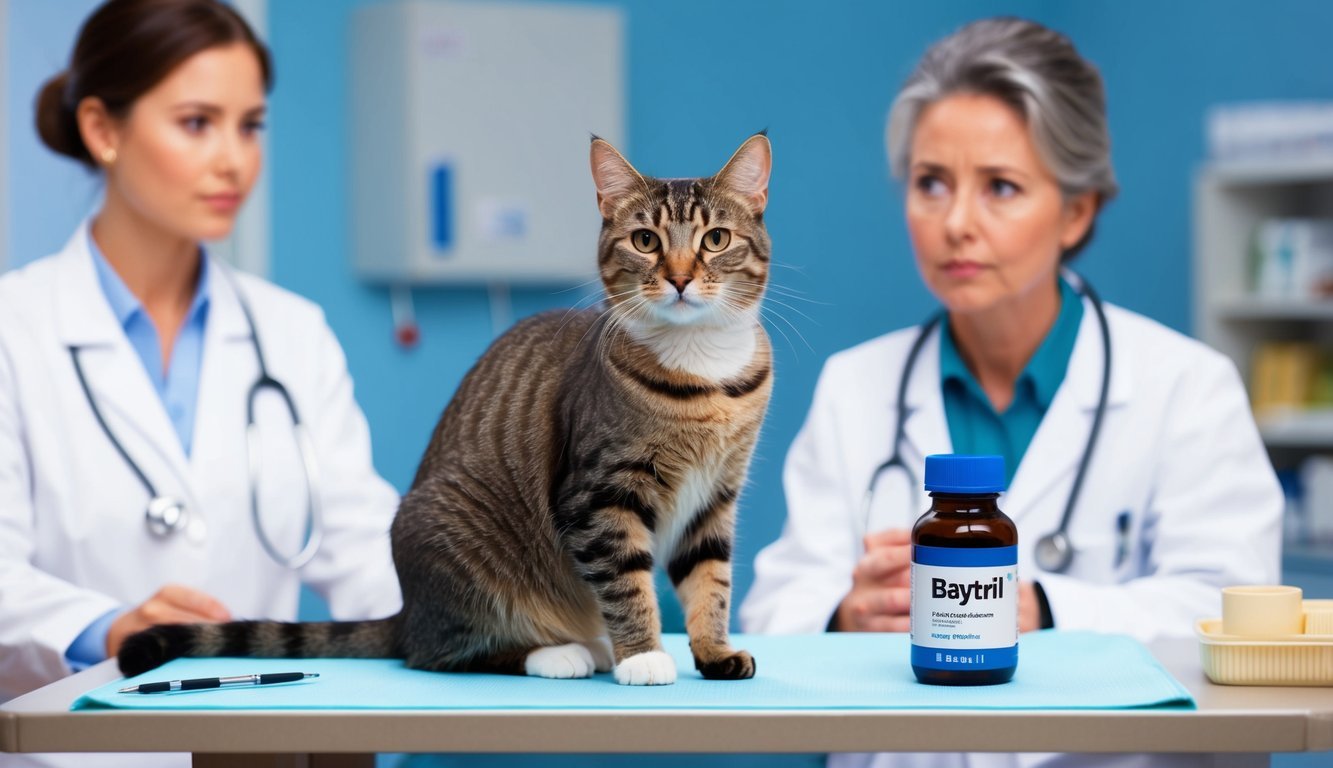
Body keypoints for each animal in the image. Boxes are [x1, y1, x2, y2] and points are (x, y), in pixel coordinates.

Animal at [123, 132, 778, 682]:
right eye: (646, 241)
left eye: (715, 239)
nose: (680, 278)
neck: (702, 372)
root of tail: (409, 610)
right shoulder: (600, 495)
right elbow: (625, 583)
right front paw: (643, 656)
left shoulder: (716, 496)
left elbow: (710, 580)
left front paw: (712, 653)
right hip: (456, 543)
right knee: (442, 653)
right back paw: (561, 652)